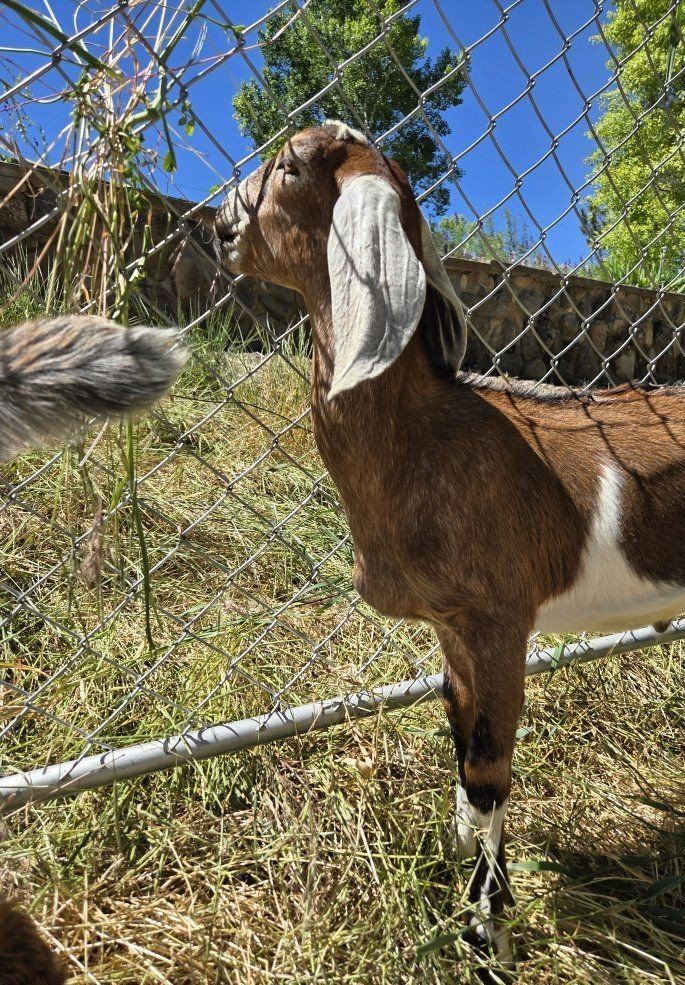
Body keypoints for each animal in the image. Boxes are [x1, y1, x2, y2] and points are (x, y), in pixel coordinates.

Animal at [215, 121, 685, 970]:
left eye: (291, 167)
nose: (215, 228)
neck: (431, 437)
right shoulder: (452, 630)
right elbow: (460, 744)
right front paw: (461, 857)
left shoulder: (499, 622)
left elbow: (490, 765)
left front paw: (485, 932)